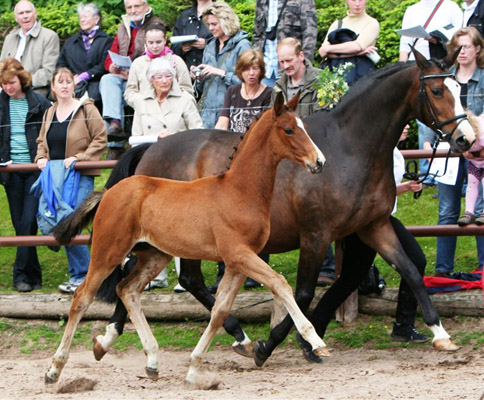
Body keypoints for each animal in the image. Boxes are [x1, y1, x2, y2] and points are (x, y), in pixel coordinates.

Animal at [45, 92, 326, 386]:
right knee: (82, 297)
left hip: (155, 255)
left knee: (127, 290)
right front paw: (315, 341)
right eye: (289, 129)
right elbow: (280, 284)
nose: (319, 162)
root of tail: (108, 192)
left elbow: (220, 311)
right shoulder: (239, 254)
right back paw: (54, 368)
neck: (240, 191)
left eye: (304, 127)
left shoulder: (238, 262)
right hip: (108, 251)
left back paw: (151, 360)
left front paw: (194, 368)